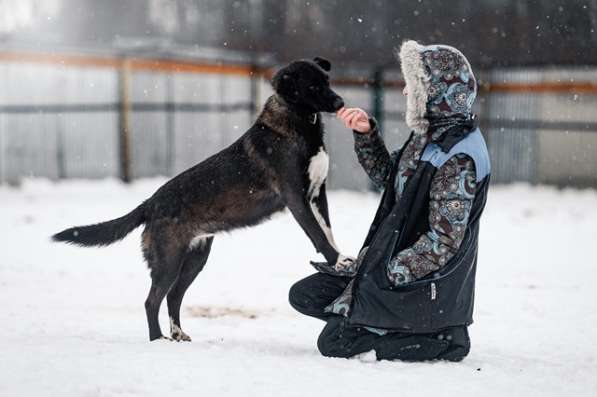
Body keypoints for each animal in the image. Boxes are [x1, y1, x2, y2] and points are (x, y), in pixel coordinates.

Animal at [53, 57, 352, 342]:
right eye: (312, 86)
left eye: (327, 81)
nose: (341, 102)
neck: (299, 121)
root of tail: (150, 202)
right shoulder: (295, 198)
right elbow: (319, 235)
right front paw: (338, 261)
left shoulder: (318, 194)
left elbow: (327, 230)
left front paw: (342, 263)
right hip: (169, 260)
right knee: (152, 301)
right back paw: (158, 340)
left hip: (195, 259)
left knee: (173, 296)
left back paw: (177, 335)